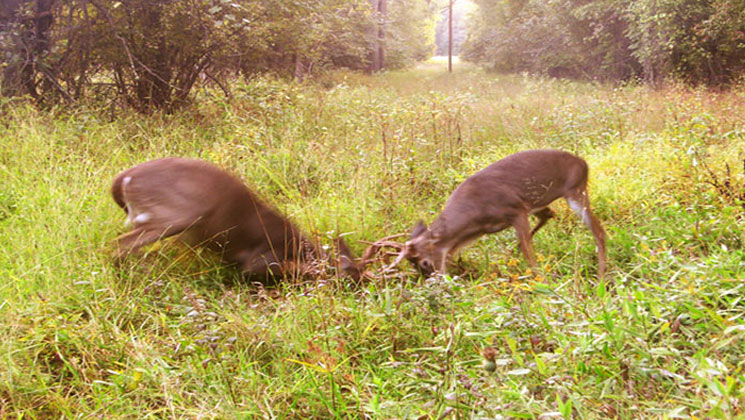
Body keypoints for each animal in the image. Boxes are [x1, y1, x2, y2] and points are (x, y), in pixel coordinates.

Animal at [110, 157, 361, 281]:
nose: (362, 281)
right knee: (119, 244)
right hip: (175, 215)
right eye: (348, 272)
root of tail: (123, 179)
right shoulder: (261, 258)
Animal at [365, 149, 606, 279]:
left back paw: (602, 276)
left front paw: (541, 281)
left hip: (576, 191)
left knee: (599, 231)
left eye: (424, 263)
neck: (475, 215)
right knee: (550, 214)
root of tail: (584, 163)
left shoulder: (516, 210)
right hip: (544, 202)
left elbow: (528, 253)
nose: (434, 281)